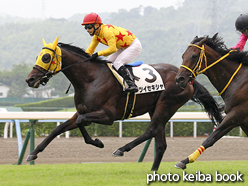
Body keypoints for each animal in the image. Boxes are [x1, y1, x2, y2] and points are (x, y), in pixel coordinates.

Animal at [25, 36, 223, 170]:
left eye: (45, 58)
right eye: (38, 56)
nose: (30, 79)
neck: (90, 79)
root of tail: (187, 78)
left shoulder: (108, 116)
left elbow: (82, 122)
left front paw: (98, 142)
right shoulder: (81, 112)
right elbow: (59, 128)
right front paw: (33, 153)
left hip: (166, 104)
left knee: (151, 130)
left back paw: (121, 149)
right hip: (157, 108)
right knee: (160, 143)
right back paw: (153, 171)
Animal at [175, 32, 248, 169]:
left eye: (194, 56)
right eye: (183, 55)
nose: (179, 79)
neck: (238, 80)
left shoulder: (236, 114)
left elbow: (210, 139)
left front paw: (185, 160)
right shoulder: (242, 120)